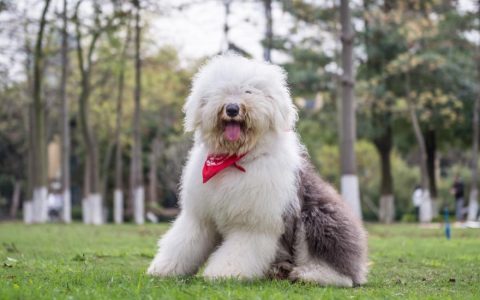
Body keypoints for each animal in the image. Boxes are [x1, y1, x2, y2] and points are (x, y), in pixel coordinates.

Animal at [146, 53, 368, 286]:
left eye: (249, 92)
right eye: (222, 91)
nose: (232, 108)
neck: (234, 160)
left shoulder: (253, 222)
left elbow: (239, 250)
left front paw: (225, 272)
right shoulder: (199, 216)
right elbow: (183, 242)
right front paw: (164, 268)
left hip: (317, 217)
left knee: (341, 271)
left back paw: (310, 274)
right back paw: (279, 270)